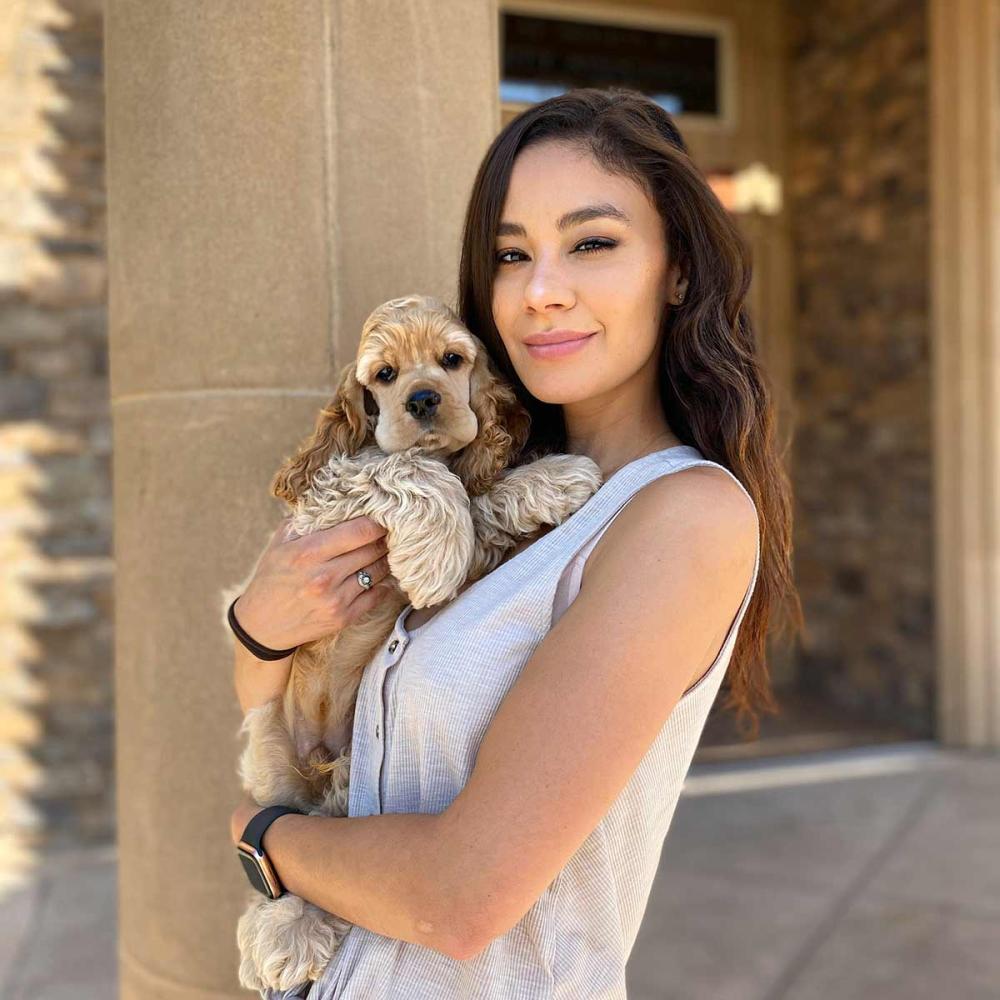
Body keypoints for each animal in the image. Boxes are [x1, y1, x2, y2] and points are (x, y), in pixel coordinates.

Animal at [226, 292, 600, 992]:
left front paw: (553, 478)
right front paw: (437, 551)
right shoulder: (327, 499)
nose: (424, 400)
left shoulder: (477, 538)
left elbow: (477, 501)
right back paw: (283, 936)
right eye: (384, 375)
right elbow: (404, 467)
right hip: (275, 763)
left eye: (452, 360)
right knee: (280, 845)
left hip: (346, 779)